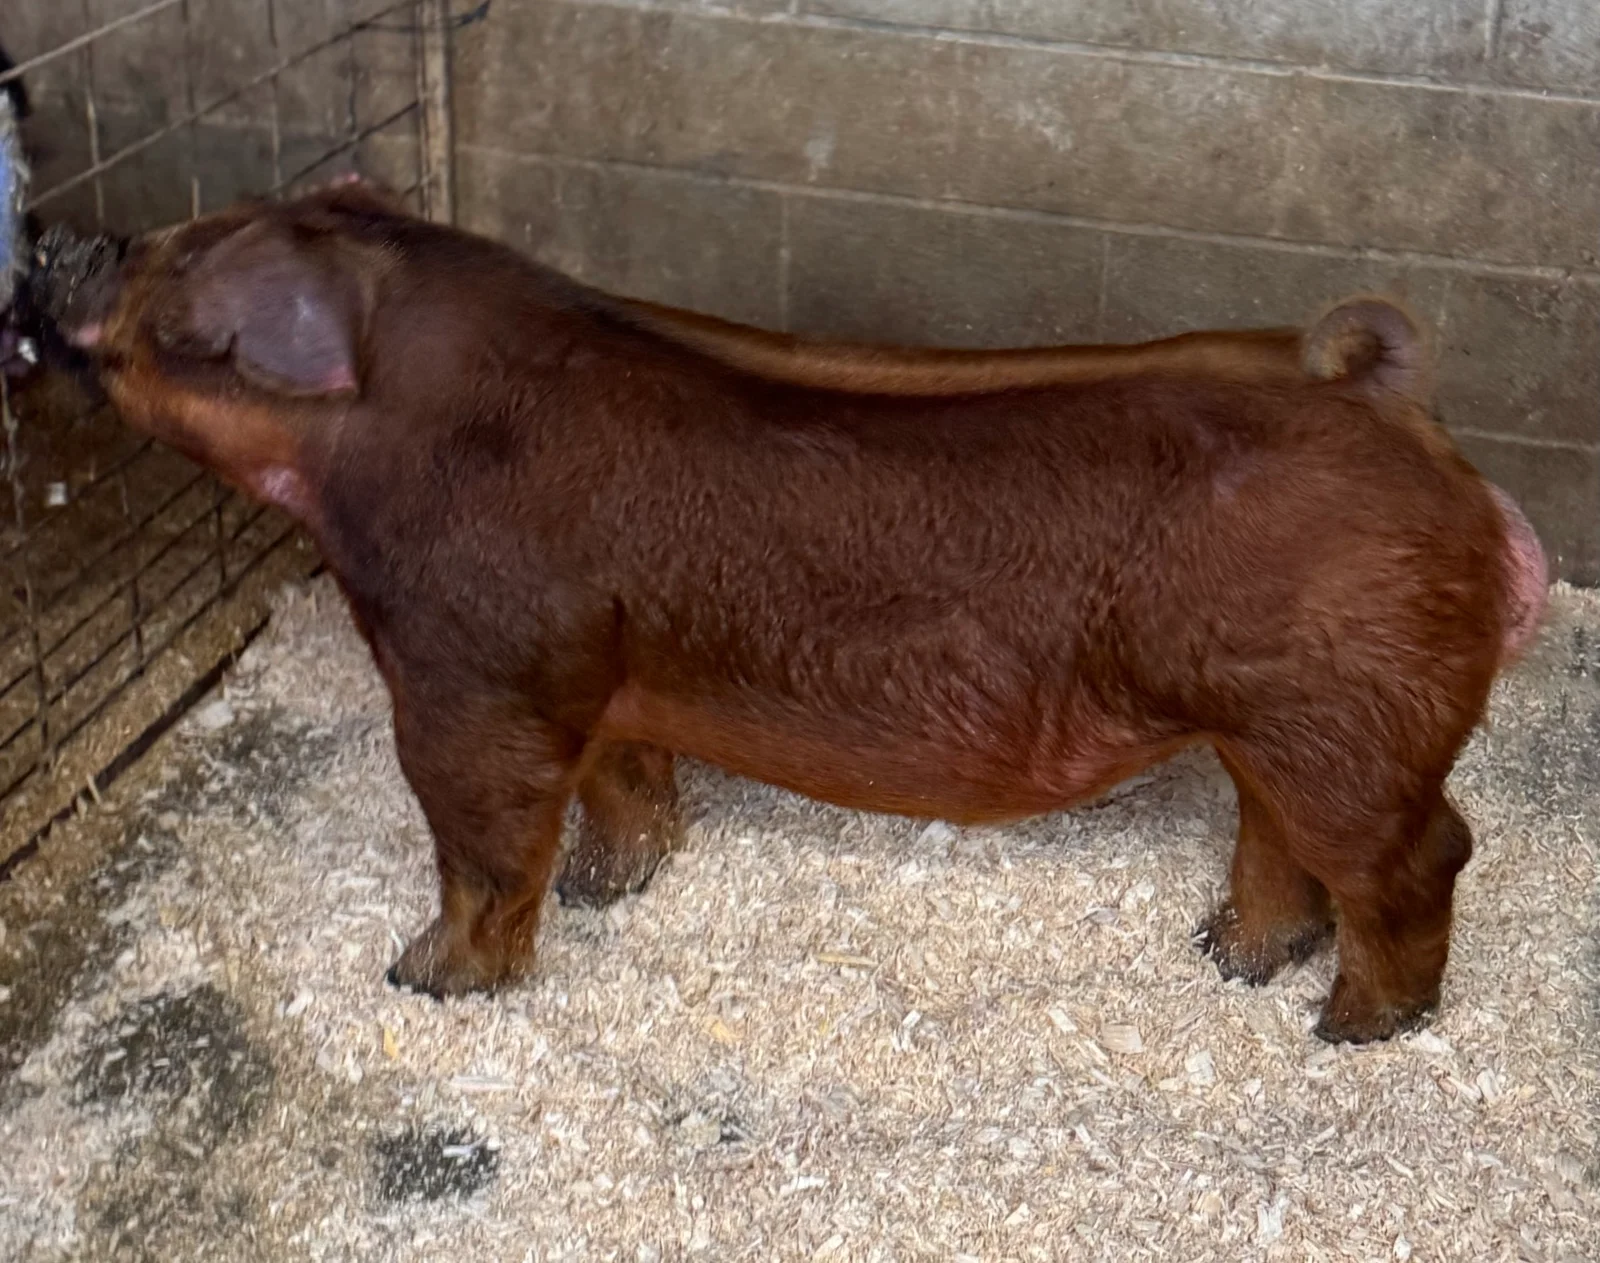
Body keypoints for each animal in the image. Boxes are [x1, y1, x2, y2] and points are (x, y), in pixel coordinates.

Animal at [33, 182, 1547, 1044]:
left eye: (166, 263)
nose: (53, 238)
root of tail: (1380, 395)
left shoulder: (471, 669)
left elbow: (486, 836)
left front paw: (426, 980)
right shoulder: (608, 671)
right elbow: (627, 782)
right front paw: (611, 886)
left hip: (1353, 719)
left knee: (1425, 855)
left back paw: (1347, 1030)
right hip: (1280, 724)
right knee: (1280, 841)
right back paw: (1228, 959)